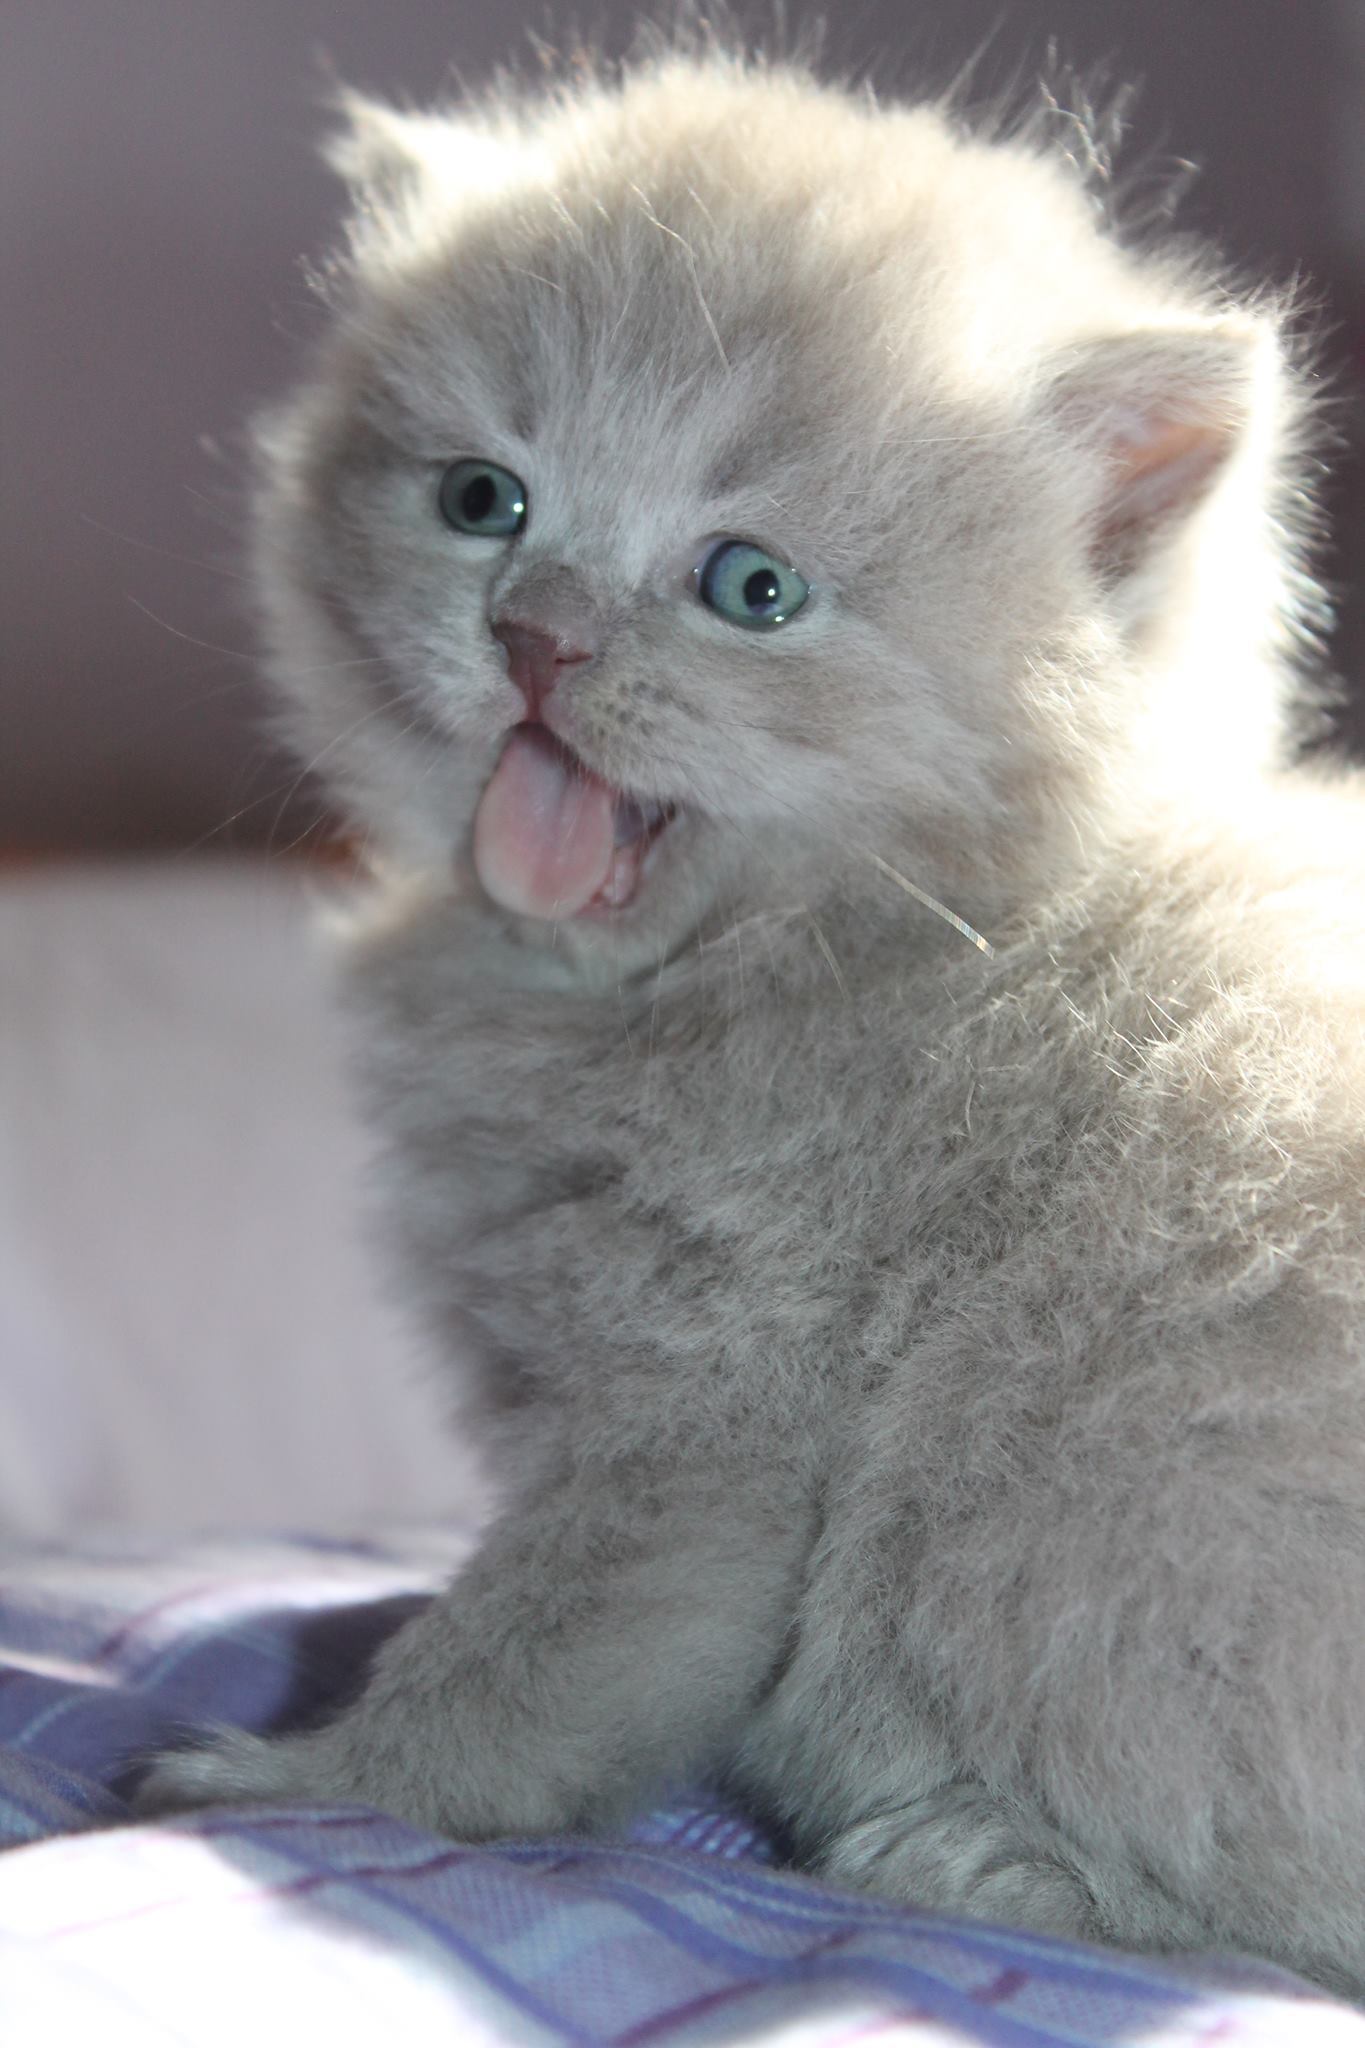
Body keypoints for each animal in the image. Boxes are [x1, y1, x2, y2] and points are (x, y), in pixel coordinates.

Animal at [136, 48, 1365, 1998]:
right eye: (483, 498)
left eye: (751, 589)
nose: (537, 636)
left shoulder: (708, 1399)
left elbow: (535, 1659)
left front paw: (303, 1776)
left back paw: (975, 1857)